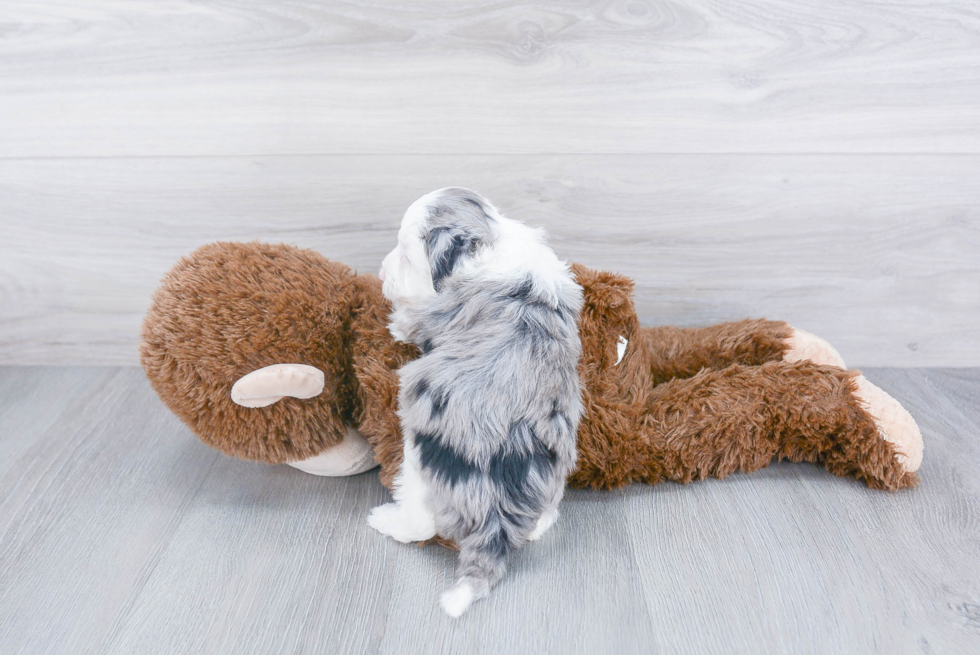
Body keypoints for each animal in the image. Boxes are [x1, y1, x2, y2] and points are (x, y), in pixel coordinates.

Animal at [368, 187, 580, 616]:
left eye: (405, 255)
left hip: (419, 452)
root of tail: (494, 513)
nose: (380, 274)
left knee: (421, 522)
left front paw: (395, 321)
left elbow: (409, 322)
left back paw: (385, 519)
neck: (492, 240)